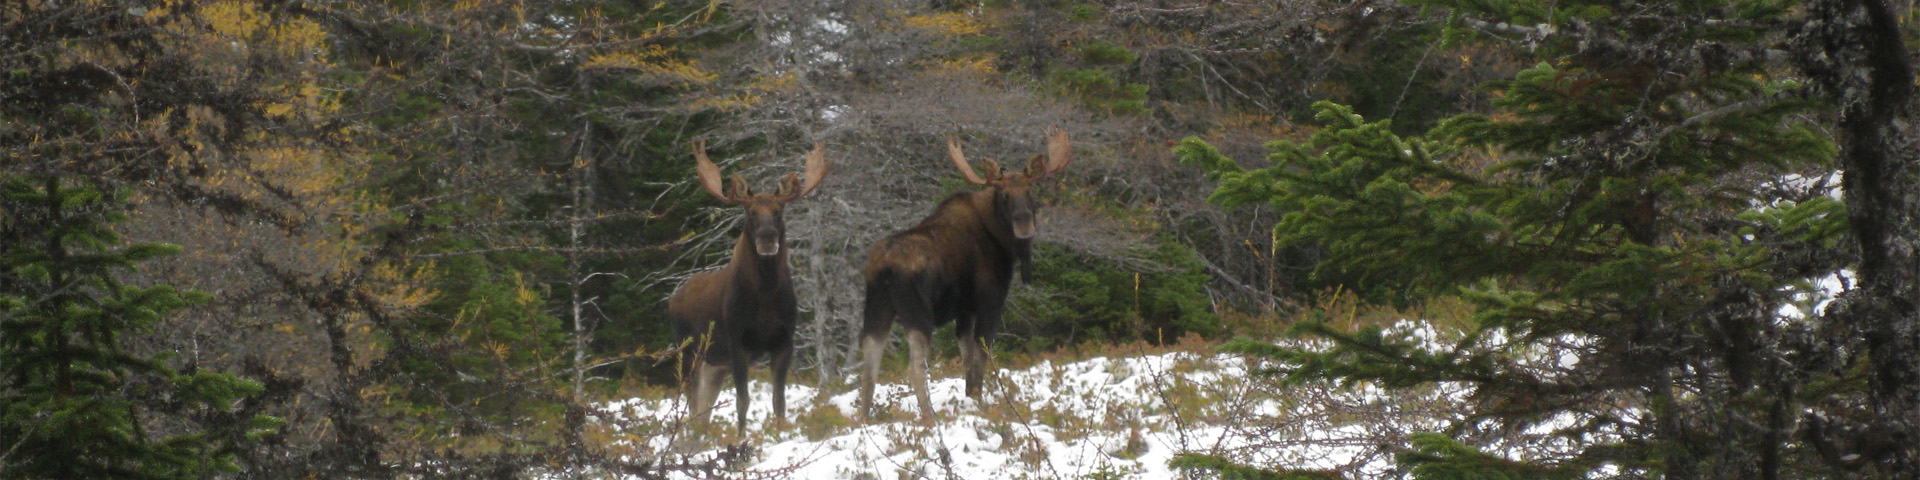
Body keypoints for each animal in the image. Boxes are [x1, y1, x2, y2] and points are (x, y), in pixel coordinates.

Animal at [672, 140, 829, 432]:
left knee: (703, 410)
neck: (765, 300)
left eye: (778, 211)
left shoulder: (784, 340)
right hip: (688, 350)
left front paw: (779, 432)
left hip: (714, 363)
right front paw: (741, 438)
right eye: (750, 212)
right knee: (692, 405)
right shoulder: (737, 342)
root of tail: (672, 299)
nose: (767, 238)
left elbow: (779, 400)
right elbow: (742, 401)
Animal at [860, 127, 1075, 420]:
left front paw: (971, 398)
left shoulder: (964, 311)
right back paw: (930, 419)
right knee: (915, 368)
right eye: (1004, 195)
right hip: (918, 314)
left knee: (869, 366)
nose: (1024, 224)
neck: (1002, 242)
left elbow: (967, 358)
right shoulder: (989, 302)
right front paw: (980, 403)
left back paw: (863, 419)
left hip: (876, 310)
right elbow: (981, 357)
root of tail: (884, 268)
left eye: (1030, 191)